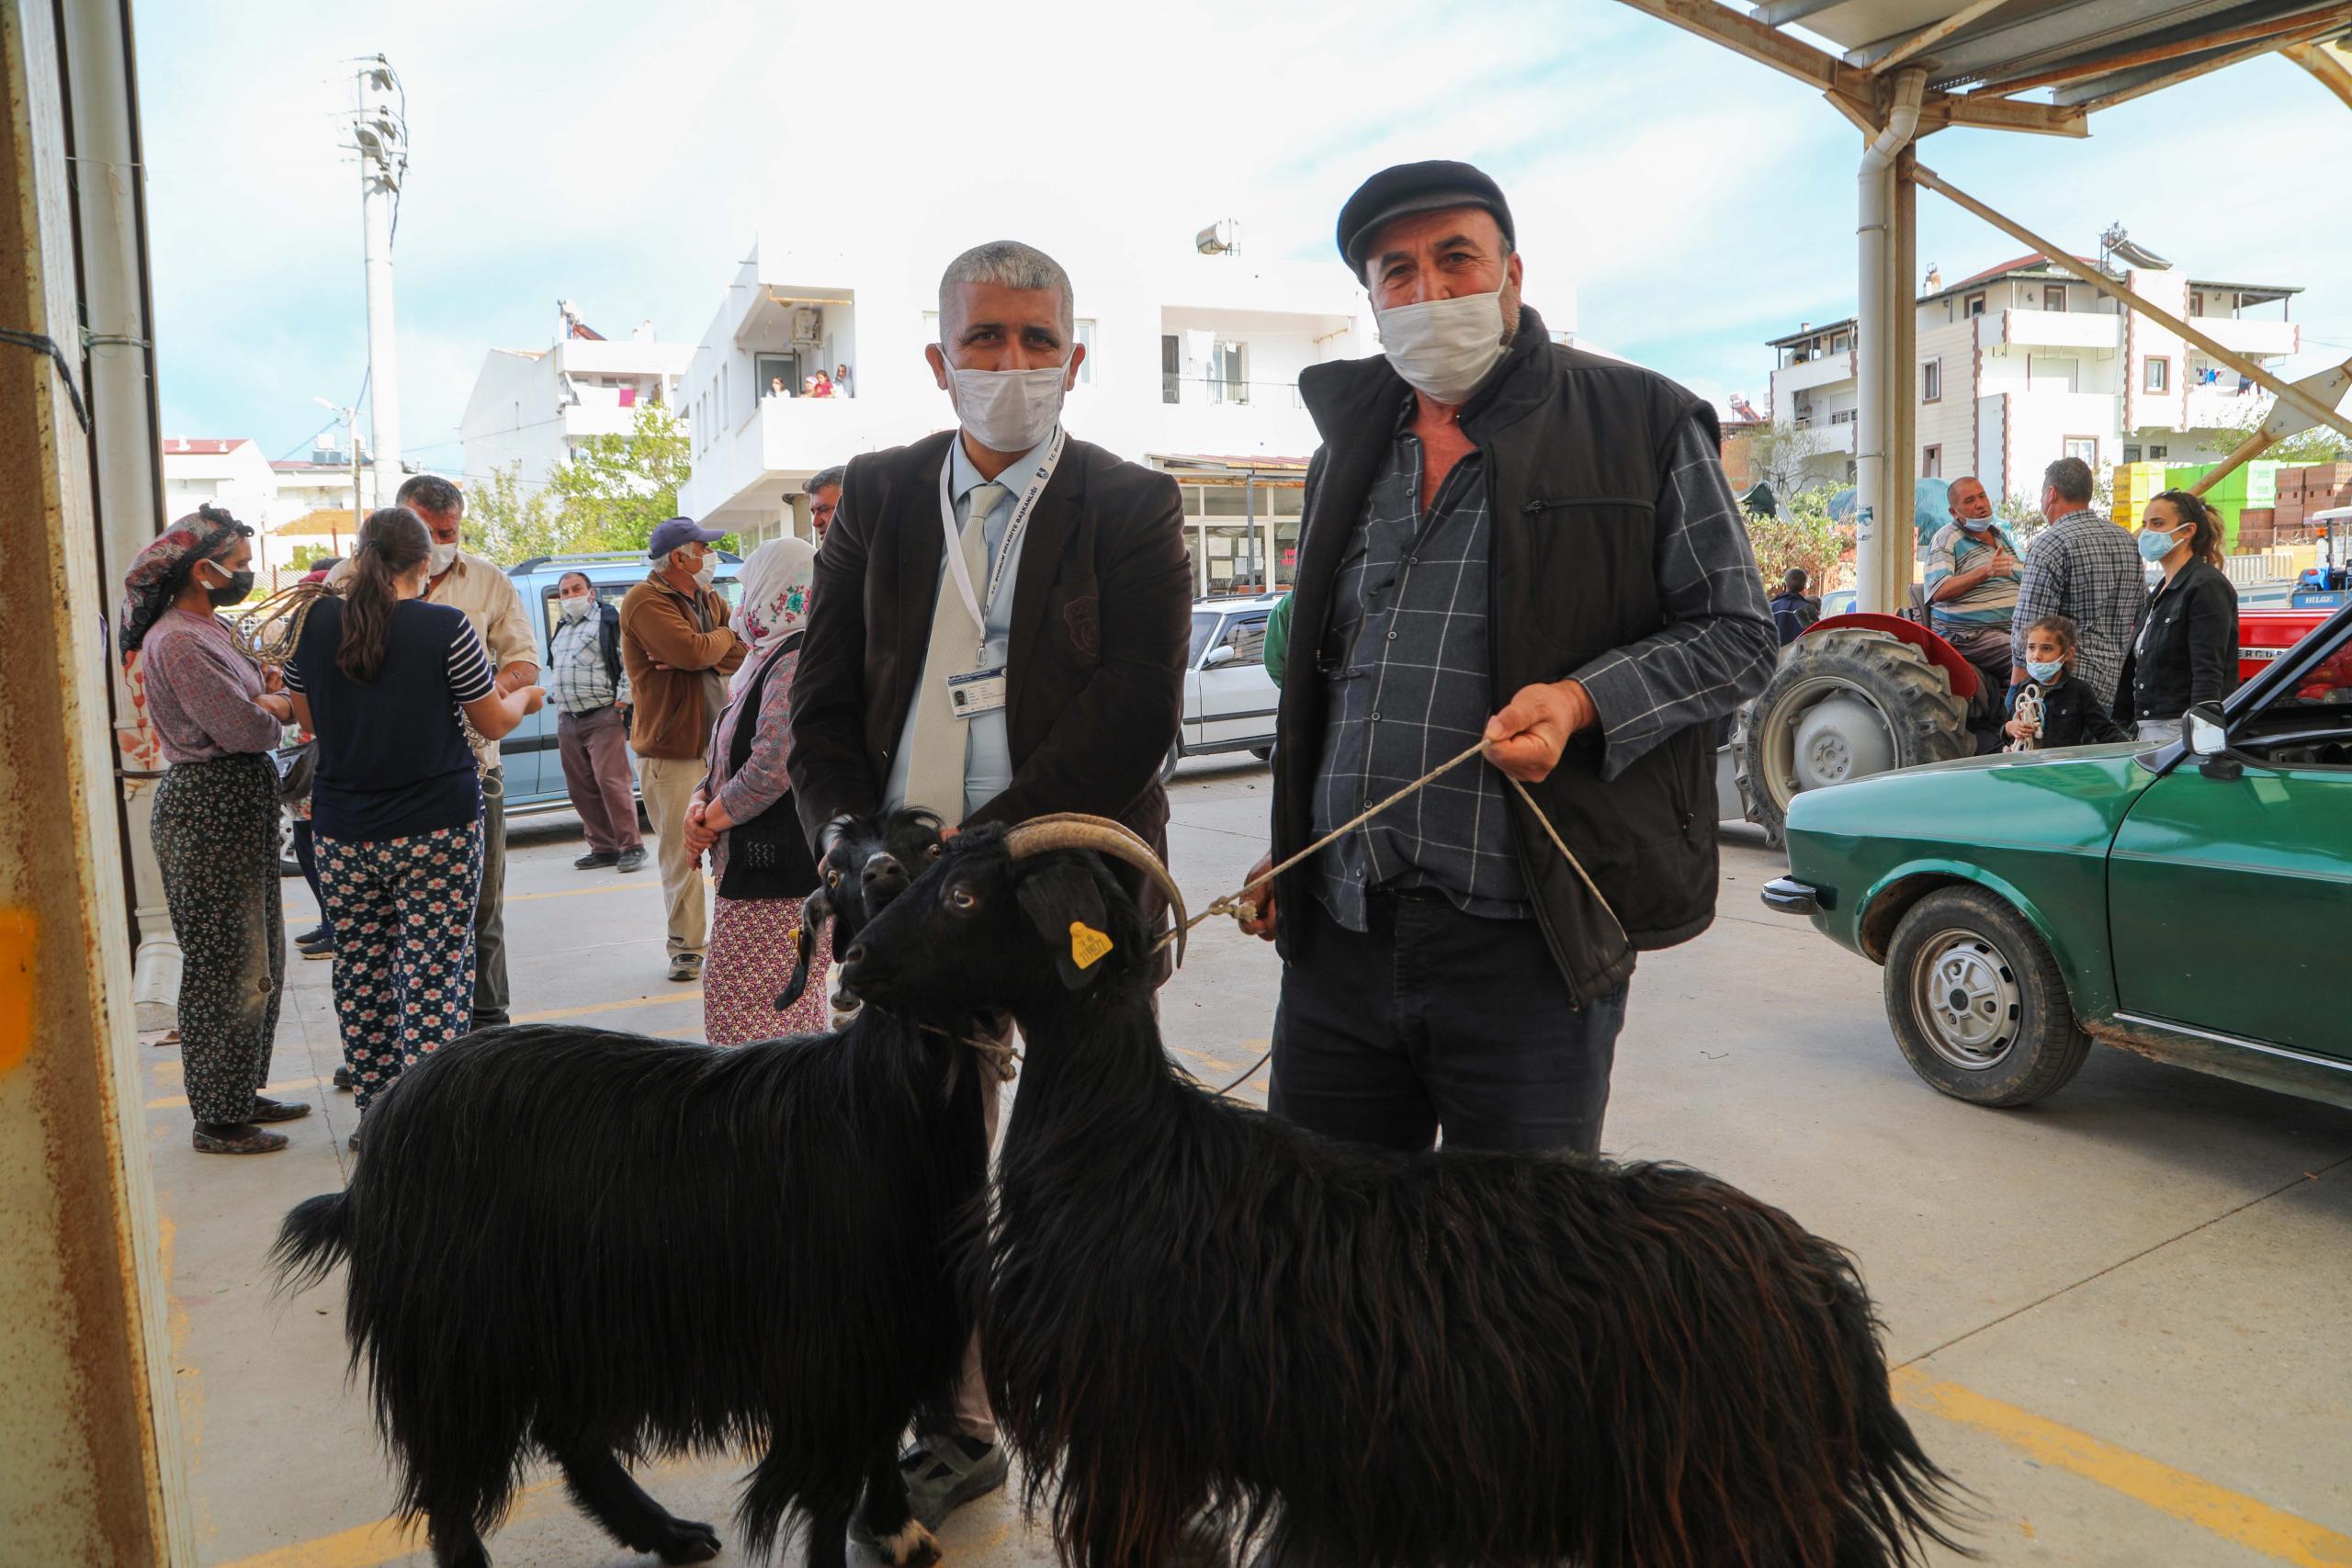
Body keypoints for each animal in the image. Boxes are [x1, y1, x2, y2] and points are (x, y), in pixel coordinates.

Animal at [277, 808, 992, 1568]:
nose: (885, 874)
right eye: (833, 873)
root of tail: (378, 1146)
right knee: (454, 1485)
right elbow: (830, 1492)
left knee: (567, 1437)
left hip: (560, 1323)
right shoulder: (825, 1341)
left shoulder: (898, 1324)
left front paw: (894, 1524)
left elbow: (881, 1438)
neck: (874, 1100)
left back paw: (669, 1533)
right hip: (460, 1330)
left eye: (931, 843)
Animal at [842, 822, 1966, 1568]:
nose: (851, 963)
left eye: (963, 898)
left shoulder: (1133, 1432)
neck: (1119, 1145)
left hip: (1735, 1504)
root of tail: (1824, 1296)